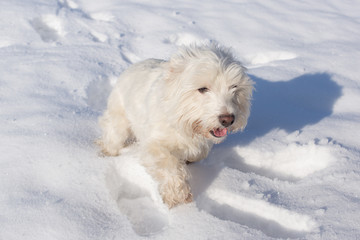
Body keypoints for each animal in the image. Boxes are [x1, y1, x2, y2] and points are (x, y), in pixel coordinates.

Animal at [98, 43, 253, 208]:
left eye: (234, 87)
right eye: (202, 89)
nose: (228, 119)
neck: (183, 121)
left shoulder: (200, 144)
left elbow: (198, 153)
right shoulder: (155, 144)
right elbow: (169, 165)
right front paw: (178, 197)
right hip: (119, 122)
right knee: (112, 136)